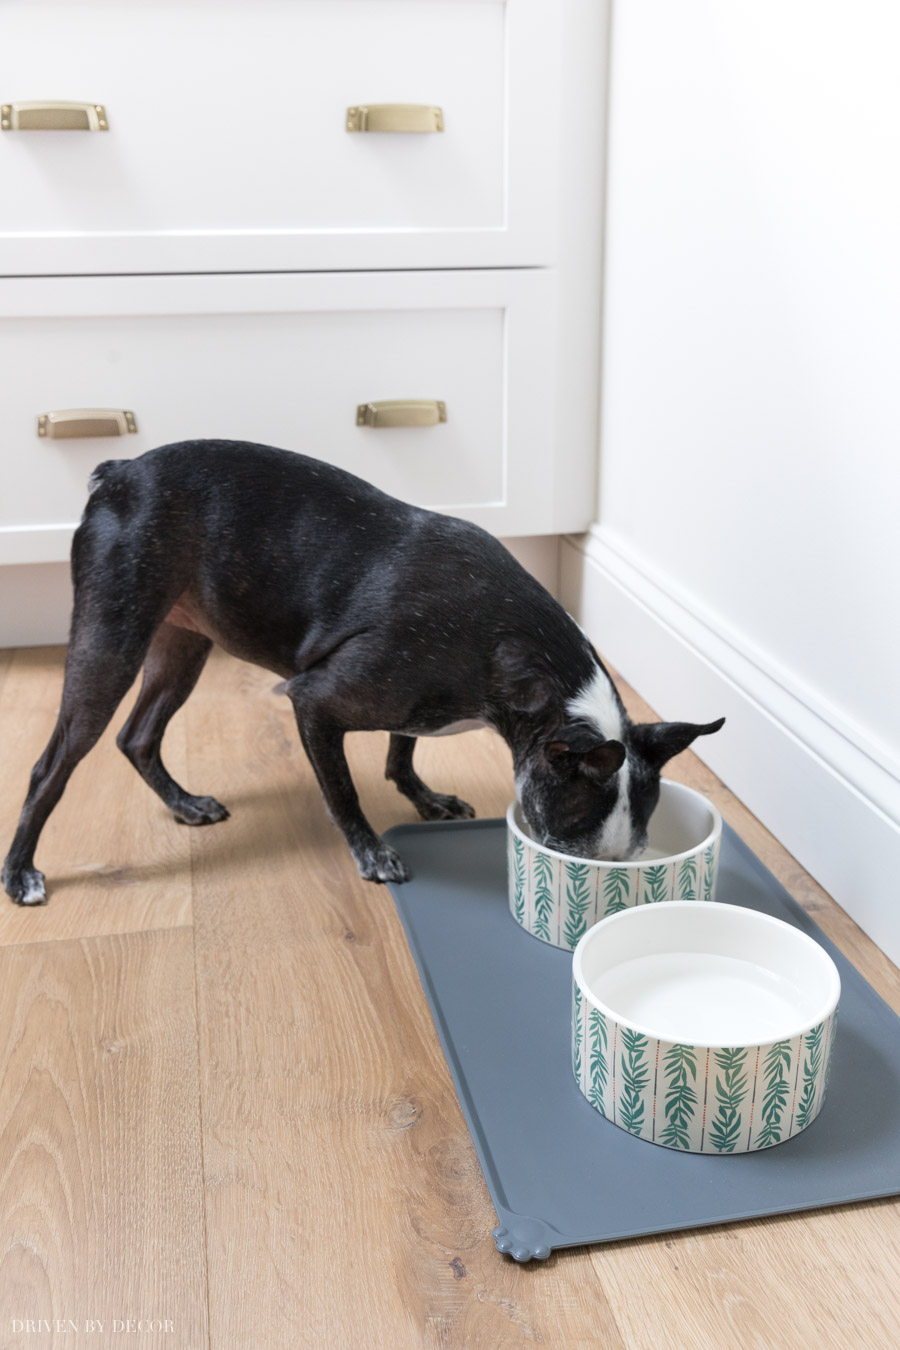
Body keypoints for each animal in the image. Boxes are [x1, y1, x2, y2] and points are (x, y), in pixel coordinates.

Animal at [1, 442, 723, 907]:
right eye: (575, 855)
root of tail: (119, 472)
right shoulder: (315, 701)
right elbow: (344, 792)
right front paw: (371, 851)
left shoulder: (419, 703)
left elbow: (402, 750)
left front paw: (424, 797)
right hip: (111, 641)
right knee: (52, 766)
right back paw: (20, 871)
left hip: (182, 645)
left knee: (138, 736)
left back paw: (183, 802)